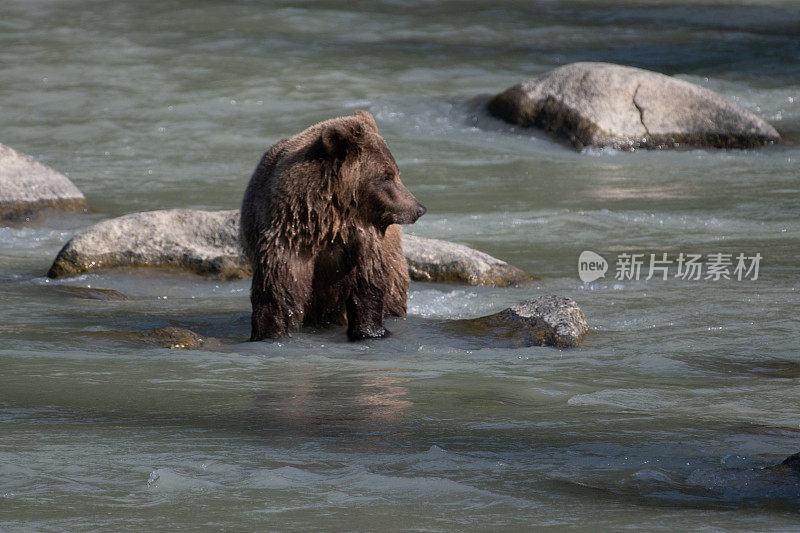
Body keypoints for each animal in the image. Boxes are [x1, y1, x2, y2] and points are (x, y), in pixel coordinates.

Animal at [239, 111, 424, 340]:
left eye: (396, 172)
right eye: (386, 176)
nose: (418, 208)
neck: (327, 222)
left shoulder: (362, 242)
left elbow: (367, 284)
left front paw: (370, 330)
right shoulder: (288, 238)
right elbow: (278, 290)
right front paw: (269, 332)